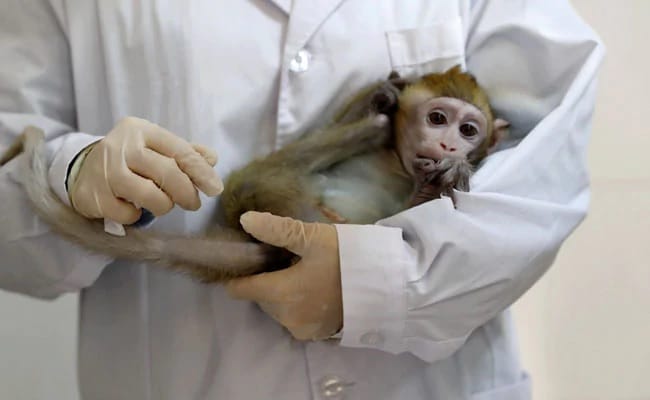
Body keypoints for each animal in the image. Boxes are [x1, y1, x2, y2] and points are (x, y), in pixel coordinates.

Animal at [0, 65, 508, 283]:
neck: (395, 161)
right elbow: (361, 115)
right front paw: (382, 96)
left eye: (468, 129)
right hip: (261, 186)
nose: (449, 144)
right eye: (438, 119)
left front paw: (442, 176)